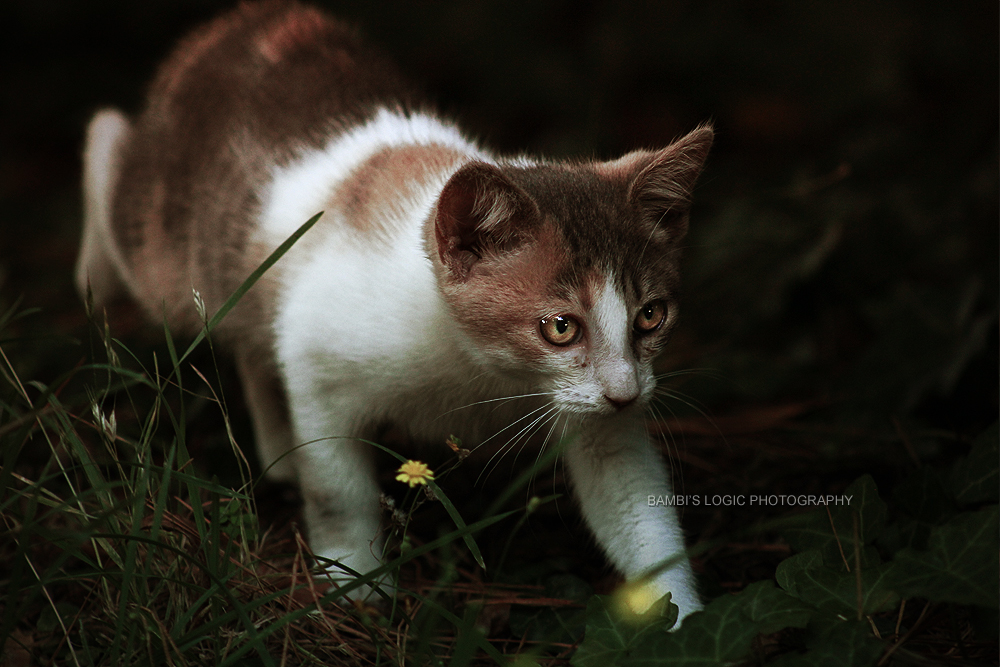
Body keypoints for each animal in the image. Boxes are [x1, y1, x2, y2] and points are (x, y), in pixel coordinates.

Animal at [74, 0, 712, 624]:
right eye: (560, 327)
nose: (626, 394)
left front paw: (683, 618)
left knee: (254, 344)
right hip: (167, 256)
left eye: (650, 316)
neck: (480, 365)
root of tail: (236, 23)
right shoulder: (318, 355)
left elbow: (635, 503)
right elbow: (338, 488)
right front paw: (352, 584)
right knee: (110, 157)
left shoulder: (601, 413)